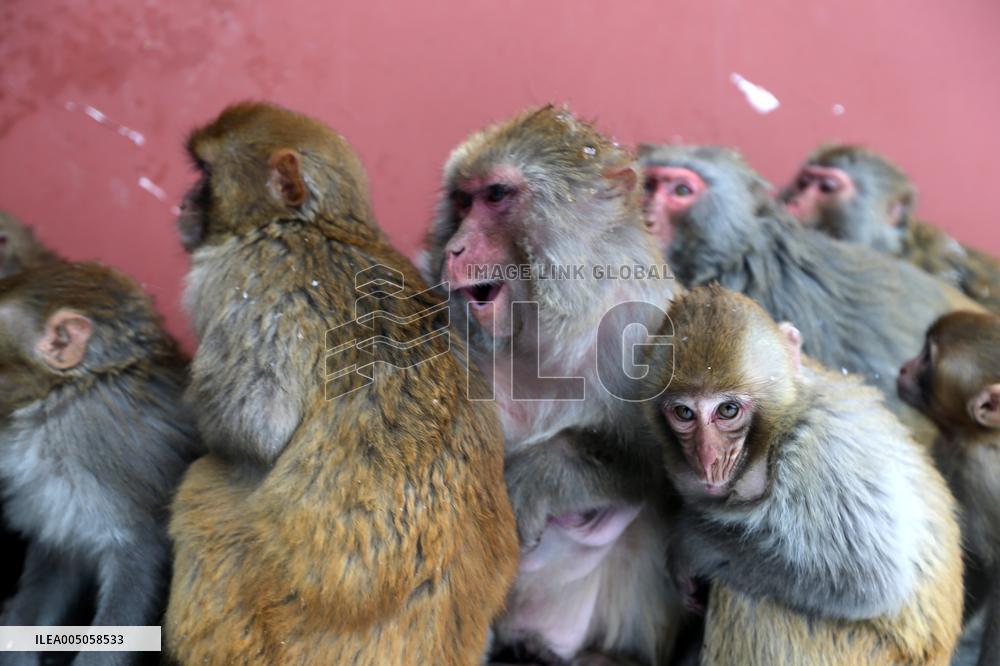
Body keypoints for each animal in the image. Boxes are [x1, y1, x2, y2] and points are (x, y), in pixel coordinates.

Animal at [164, 102, 518, 665]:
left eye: (203, 174)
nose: (182, 204)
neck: (322, 225)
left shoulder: (247, 272)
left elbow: (254, 423)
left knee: (201, 486)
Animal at [425, 105, 684, 664]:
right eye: (462, 200)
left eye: (496, 195)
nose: (454, 247)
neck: (541, 333)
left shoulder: (644, 329)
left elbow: (656, 465)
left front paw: (538, 474)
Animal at [642, 284, 964, 665]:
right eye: (684, 413)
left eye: (728, 410)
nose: (707, 459)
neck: (781, 431)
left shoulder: (824, 461)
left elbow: (867, 582)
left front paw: (691, 544)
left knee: (745, 596)